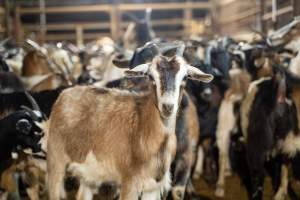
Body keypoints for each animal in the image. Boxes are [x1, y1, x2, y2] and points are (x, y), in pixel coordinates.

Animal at [47, 43, 213, 199]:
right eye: (151, 77)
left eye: (185, 77)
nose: (167, 106)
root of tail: (65, 93)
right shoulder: (129, 182)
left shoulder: (153, 187)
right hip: (56, 159)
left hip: (89, 173)